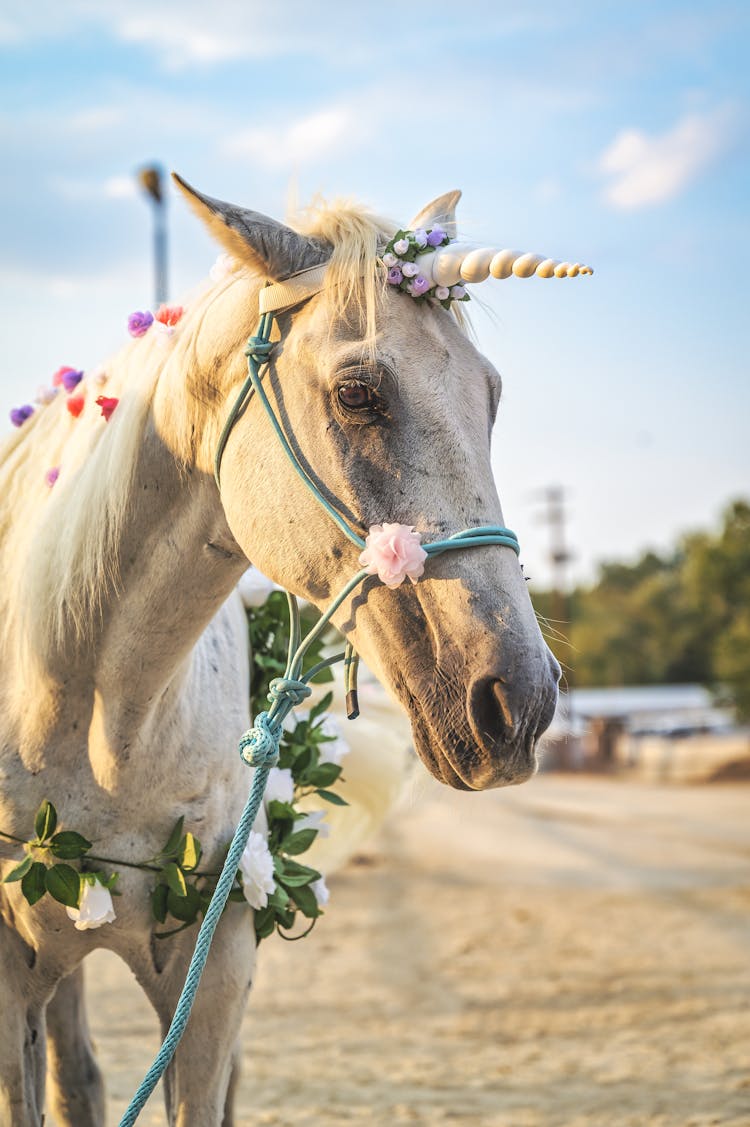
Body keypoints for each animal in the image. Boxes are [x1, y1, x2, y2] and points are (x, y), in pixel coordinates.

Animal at [0, 180, 561, 1122]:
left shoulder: (216, 969)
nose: (522, 700)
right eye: (358, 392)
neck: (94, 710)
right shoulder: (10, 983)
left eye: (491, 395)